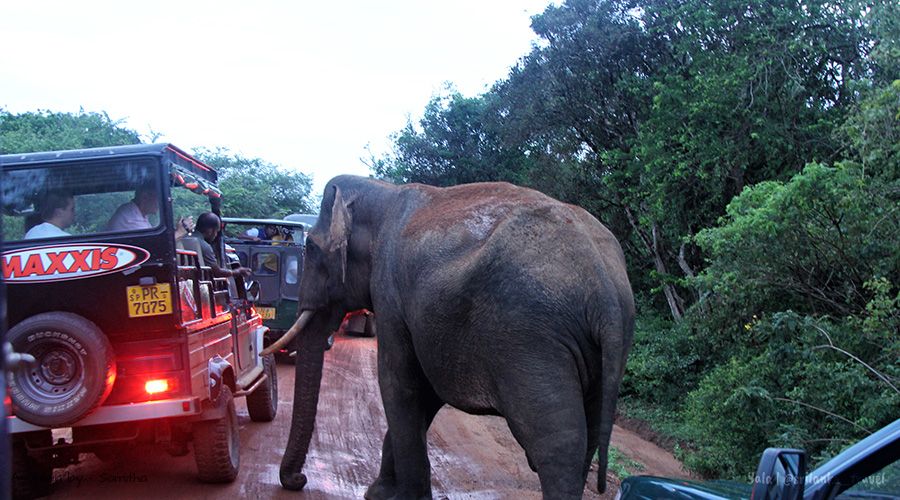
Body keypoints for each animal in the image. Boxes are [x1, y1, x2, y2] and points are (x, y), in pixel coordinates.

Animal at [262, 175, 632, 496]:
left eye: (311, 247)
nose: (298, 480)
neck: (383, 192)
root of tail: (605, 288)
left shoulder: (390, 292)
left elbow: (399, 384)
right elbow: (425, 392)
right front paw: (379, 494)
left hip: (532, 337)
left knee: (557, 443)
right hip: (596, 351)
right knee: (586, 437)